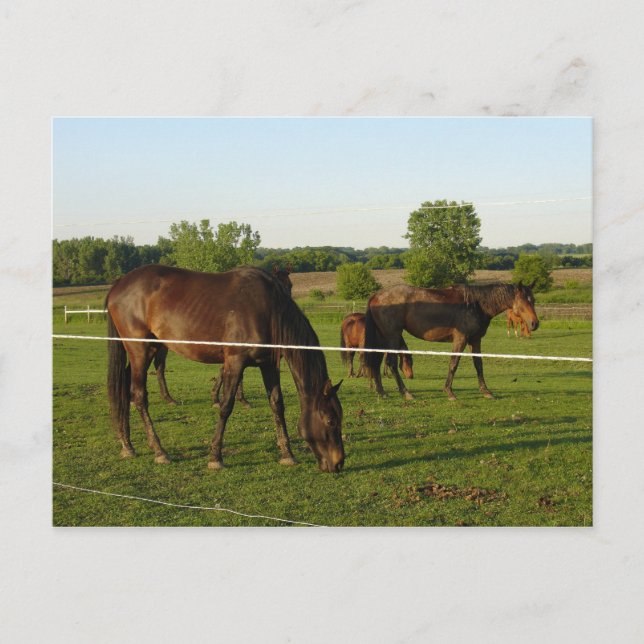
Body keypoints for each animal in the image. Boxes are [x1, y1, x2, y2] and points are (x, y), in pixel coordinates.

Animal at [106, 264, 344, 472]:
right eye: (331, 421)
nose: (339, 463)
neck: (268, 310)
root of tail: (120, 284)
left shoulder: (268, 365)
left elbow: (277, 404)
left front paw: (287, 454)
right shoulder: (235, 362)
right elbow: (226, 406)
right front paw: (215, 457)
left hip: (148, 349)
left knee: (124, 388)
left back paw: (127, 444)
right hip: (140, 350)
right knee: (138, 396)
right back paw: (159, 451)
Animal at [364, 282, 538, 400]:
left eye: (533, 300)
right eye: (523, 301)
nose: (535, 323)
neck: (476, 304)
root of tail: (376, 296)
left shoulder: (475, 340)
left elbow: (479, 364)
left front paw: (486, 391)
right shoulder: (460, 339)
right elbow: (454, 363)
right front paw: (449, 392)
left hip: (382, 338)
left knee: (376, 362)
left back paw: (382, 392)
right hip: (392, 336)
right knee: (391, 364)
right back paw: (406, 392)